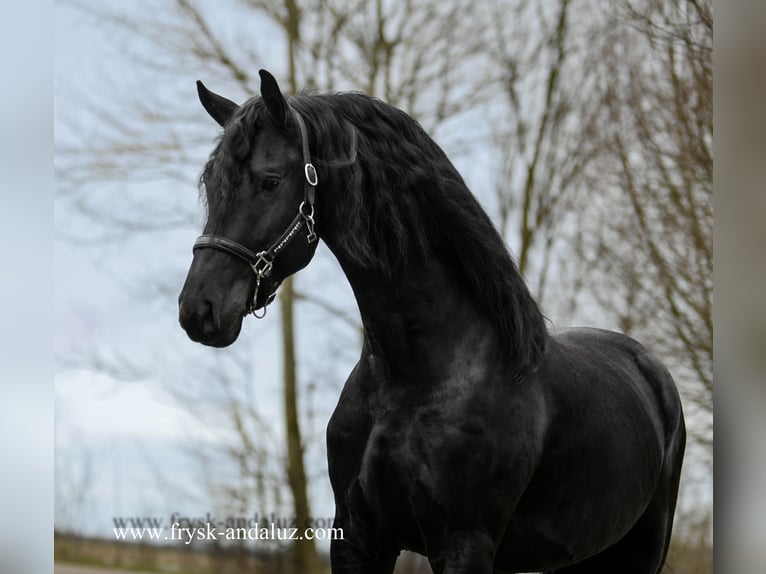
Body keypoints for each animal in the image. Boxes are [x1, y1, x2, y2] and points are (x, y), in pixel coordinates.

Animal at [182, 70, 688, 572]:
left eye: (269, 182)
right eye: (210, 182)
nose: (197, 310)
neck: (416, 376)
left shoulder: (464, 543)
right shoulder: (357, 536)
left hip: (643, 549)